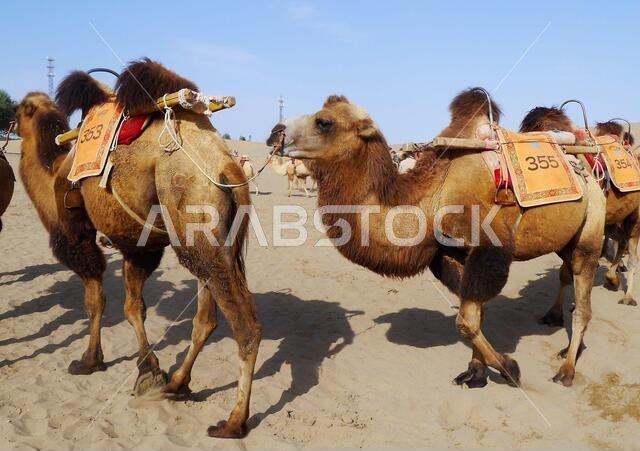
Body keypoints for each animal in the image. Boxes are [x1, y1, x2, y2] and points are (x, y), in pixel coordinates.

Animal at [15, 59, 261, 438]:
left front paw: (90, 361)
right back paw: (177, 384)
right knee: (205, 319)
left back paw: (233, 422)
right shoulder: (138, 246)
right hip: (208, 241)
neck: (54, 168)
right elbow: (133, 308)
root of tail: (227, 164)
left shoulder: (77, 234)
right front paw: (151, 371)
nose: (7, 123)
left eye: (16, 112)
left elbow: (95, 300)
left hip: (194, 222)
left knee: (245, 326)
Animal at [267, 89, 606, 387]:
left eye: (324, 122)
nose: (275, 133)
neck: (433, 199)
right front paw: (476, 373)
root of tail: (586, 166)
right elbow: (476, 317)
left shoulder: (488, 251)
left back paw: (567, 370)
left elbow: (465, 321)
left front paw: (510, 369)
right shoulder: (452, 253)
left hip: (590, 235)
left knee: (583, 303)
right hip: (565, 240)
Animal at [520, 109, 640, 324]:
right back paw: (613, 278)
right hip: (611, 219)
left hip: (633, 216)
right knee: (621, 240)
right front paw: (555, 313)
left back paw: (627, 295)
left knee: (632, 250)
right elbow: (565, 274)